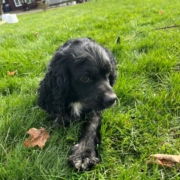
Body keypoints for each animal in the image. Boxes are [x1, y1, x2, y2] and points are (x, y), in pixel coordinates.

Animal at [37, 37, 117, 170]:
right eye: (85, 78)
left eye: (108, 73)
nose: (112, 99)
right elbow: (60, 119)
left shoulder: (94, 109)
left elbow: (91, 126)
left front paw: (84, 154)